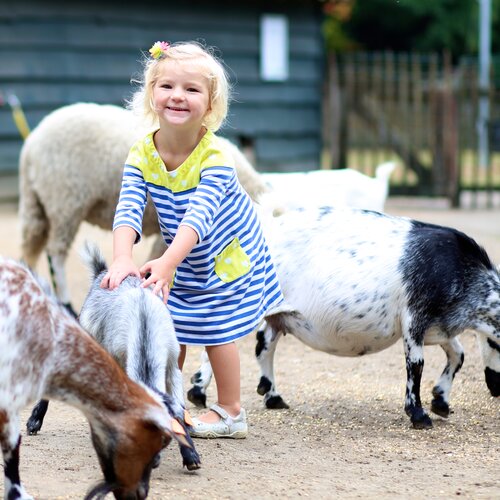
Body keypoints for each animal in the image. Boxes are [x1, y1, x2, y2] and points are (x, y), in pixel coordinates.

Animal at [0, 258, 190, 500]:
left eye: (164, 439)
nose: (153, 462)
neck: (144, 324)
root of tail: (102, 272)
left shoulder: (173, 364)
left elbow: (180, 410)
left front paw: (191, 457)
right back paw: (35, 420)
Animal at [188, 207, 500, 430]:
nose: (497, 387)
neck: (463, 272)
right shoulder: (415, 317)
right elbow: (416, 365)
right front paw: (419, 415)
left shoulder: (441, 326)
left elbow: (458, 354)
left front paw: (441, 401)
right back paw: (197, 391)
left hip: (278, 311)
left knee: (264, 343)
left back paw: (272, 395)